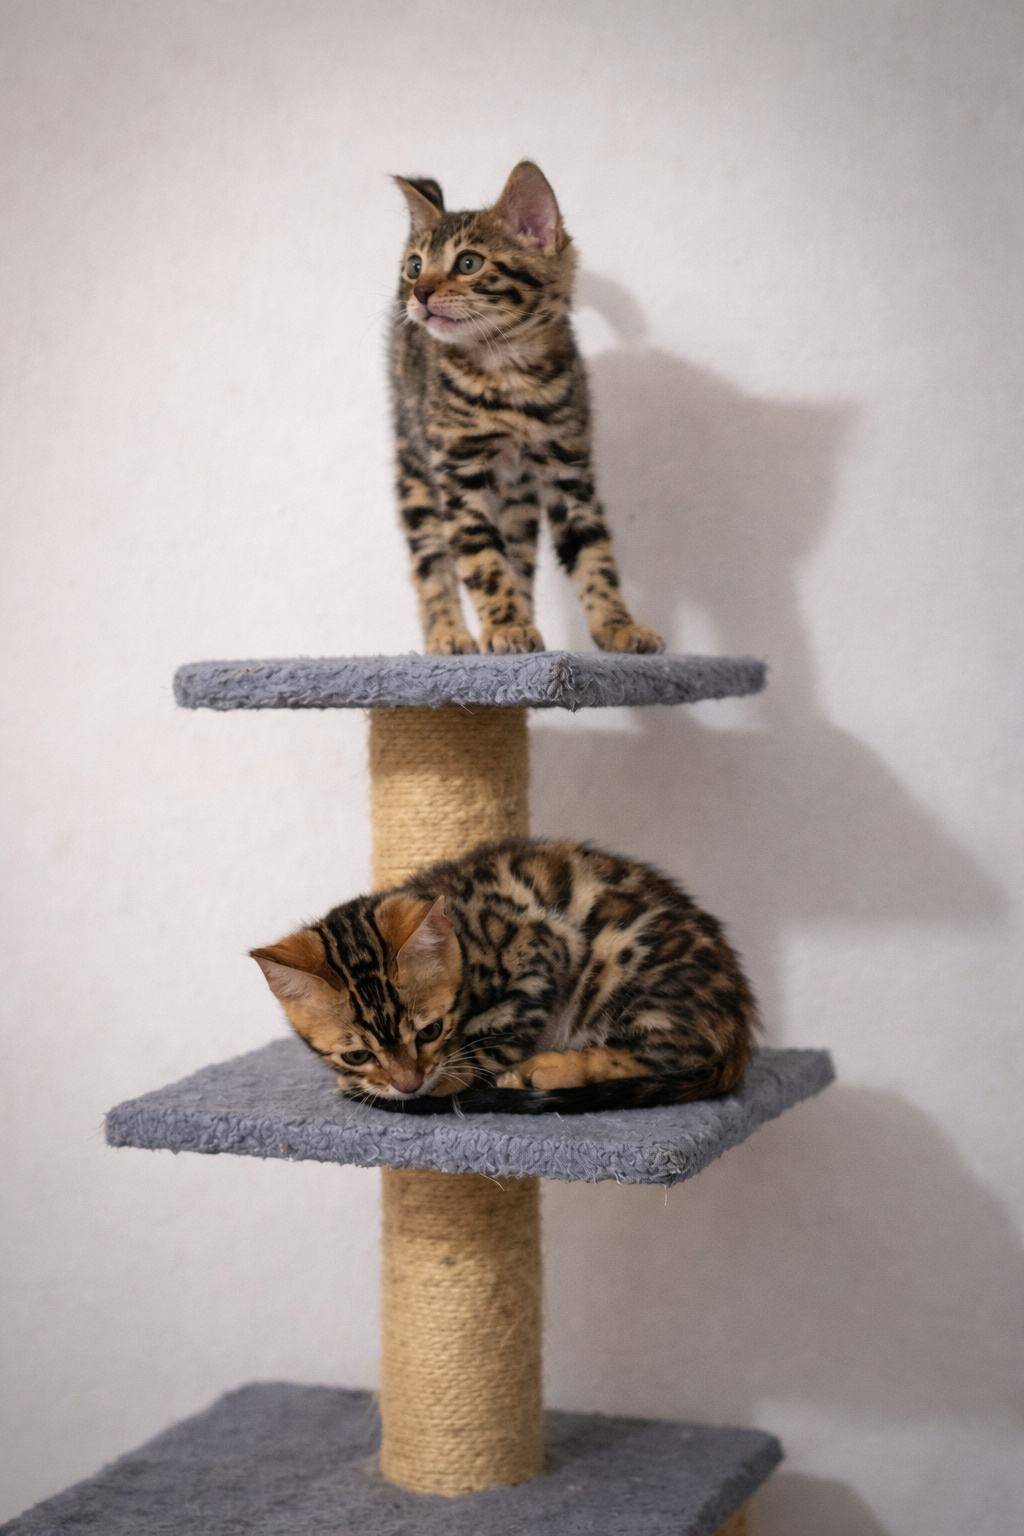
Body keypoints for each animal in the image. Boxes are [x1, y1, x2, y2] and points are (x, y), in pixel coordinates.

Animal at [251, 839, 756, 1115]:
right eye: (356, 1054)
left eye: (431, 1031)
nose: (409, 1084)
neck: (464, 936)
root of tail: (739, 1027)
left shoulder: (541, 954)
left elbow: (495, 1037)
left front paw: (452, 1078)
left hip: (630, 973)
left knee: (670, 1055)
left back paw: (548, 1069)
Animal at [390, 160, 664, 659]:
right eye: (415, 265)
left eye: (468, 262)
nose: (419, 292)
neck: (509, 373)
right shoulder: (458, 473)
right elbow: (481, 559)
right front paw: (505, 625)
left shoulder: (568, 471)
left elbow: (594, 556)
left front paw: (618, 627)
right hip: (414, 466)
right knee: (431, 558)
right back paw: (449, 634)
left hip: (517, 496)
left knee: (518, 552)